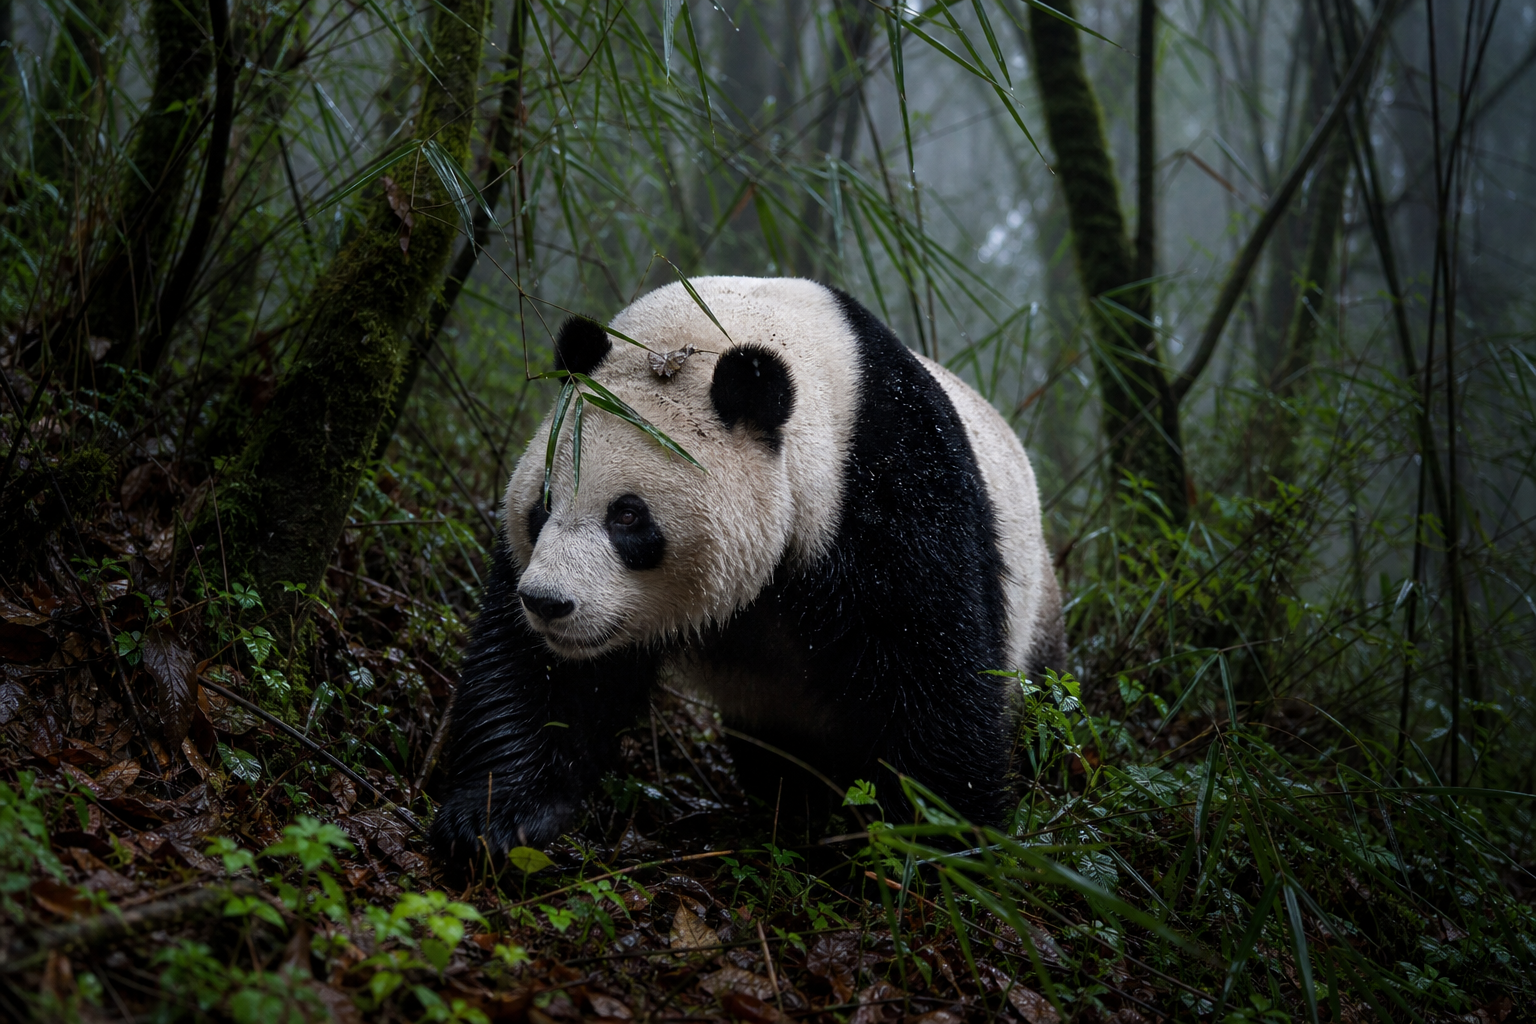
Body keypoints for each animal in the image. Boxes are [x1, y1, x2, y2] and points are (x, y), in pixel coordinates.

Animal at [429, 277, 1064, 863]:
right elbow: (542, 673)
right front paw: (496, 817)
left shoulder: (890, 487)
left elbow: (933, 673)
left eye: (628, 517)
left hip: (1040, 616)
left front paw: (943, 851)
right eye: (542, 504)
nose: (548, 603)